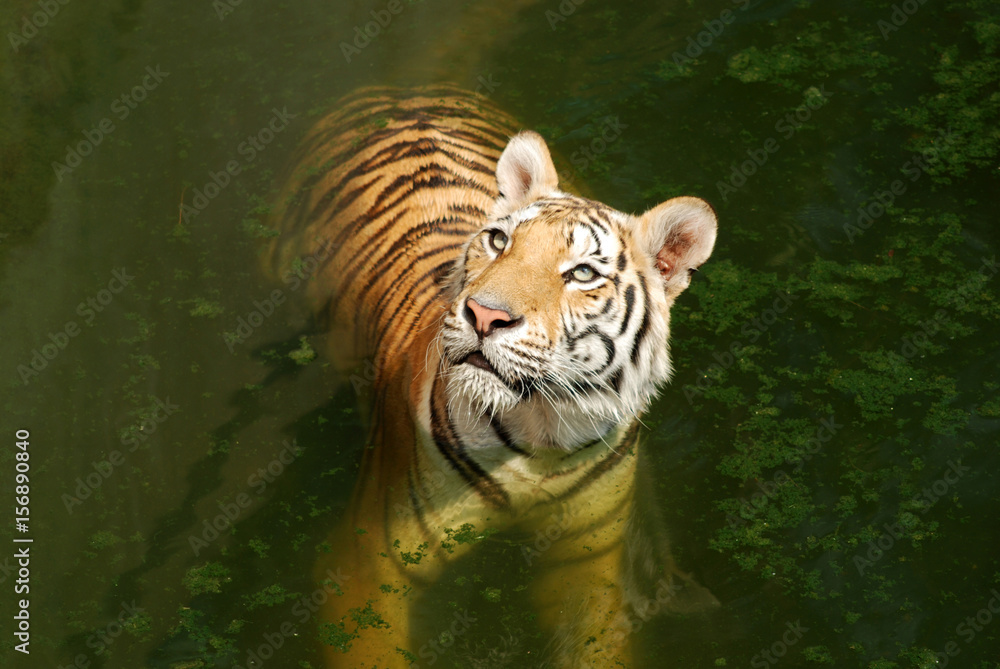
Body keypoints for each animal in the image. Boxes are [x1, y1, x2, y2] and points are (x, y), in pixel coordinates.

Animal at [264, 84, 719, 668]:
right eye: (500, 242)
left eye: (582, 273)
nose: (484, 315)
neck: (539, 433)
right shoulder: (367, 562)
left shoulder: (587, 561)